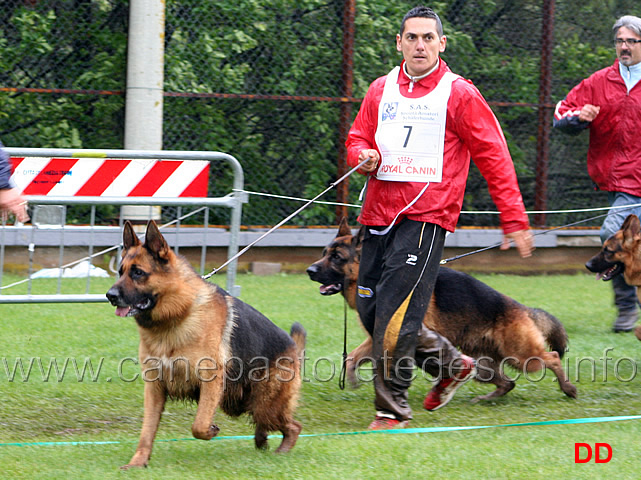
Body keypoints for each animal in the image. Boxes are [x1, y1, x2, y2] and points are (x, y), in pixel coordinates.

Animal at [106, 221, 306, 468]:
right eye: (120, 271)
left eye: (138, 273)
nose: (109, 295)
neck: (177, 314)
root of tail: (293, 346)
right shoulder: (154, 387)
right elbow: (146, 431)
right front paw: (138, 462)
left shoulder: (210, 381)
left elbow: (199, 425)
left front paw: (210, 430)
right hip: (243, 404)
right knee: (269, 426)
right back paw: (262, 442)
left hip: (264, 405)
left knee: (293, 426)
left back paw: (281, 451)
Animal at [304, 219, 576, 404]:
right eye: (324, 254)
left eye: (337, 257)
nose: (309, 270)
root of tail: (522, 309)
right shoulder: (377, 336)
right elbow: (352, 357)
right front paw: (353, 378)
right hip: (484, 365)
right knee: (507, 383)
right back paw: (484, 398)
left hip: (521, 357)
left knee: (551, 358)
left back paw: (568, 388)